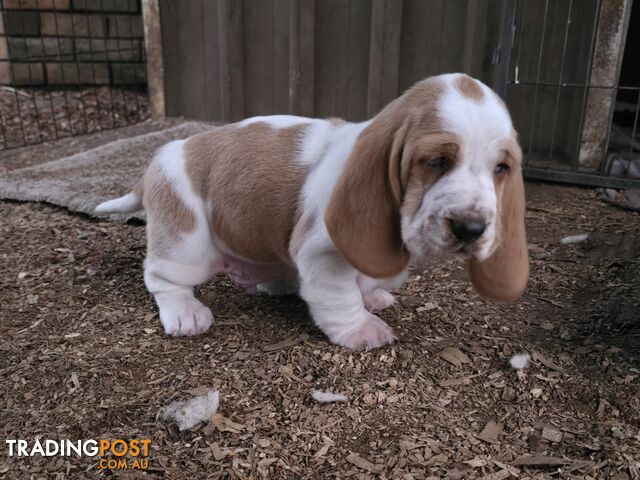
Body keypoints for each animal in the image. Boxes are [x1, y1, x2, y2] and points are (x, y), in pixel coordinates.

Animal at [97, 72, 528, 348]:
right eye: (436, 161)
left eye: (501, 168)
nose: (471, 228)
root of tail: (164, 154)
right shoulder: (324, 257)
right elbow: (341, 298)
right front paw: (362, 330)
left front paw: (374, 297)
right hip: (187, 244)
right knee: (162, 277)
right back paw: (186, 314)